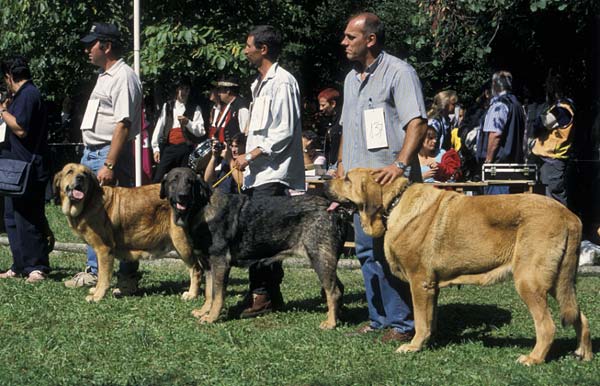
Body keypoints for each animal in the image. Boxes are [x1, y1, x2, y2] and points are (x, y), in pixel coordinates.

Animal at [53, 163, 200, 302]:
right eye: (70, 171)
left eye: (85, 174)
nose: (80, 178)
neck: (88, 201)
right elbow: (101, 273)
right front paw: (95, 290)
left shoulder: (104, 249)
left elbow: (104, 276)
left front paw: (97, 296)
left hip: (182, 244)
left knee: (196, 269)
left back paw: (192, 294)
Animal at [161, 167, 346, 328]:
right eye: (173, 181)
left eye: (190, 182)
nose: (182, 196)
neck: (201, 208)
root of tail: (334, 210)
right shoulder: (208, 265)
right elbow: (209, 292)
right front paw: (204, 311)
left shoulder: (220, 263)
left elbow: (218, 295)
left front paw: (212, 317)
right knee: (338, 289)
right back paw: (337, 316)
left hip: (320, 259)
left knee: (333, 291)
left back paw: (331, 323)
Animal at [326, 168, 592, 364]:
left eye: (347, 179)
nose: (326, 182)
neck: (394, 203)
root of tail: (570, 216)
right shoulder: (431, 286)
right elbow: (429, 319)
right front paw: (428, 341)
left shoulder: (419, 282)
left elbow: (420, 320)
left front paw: (413, 346)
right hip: (558, 282)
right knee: (580, 316)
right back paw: (584, 353)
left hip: (529, 282)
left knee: (547, 326)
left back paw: (533, 358)